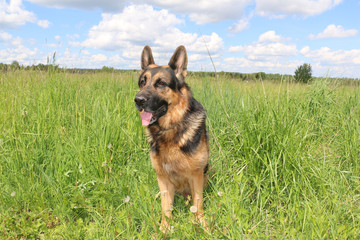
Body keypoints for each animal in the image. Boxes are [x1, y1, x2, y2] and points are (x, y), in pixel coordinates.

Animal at [134, 46, 208, 232]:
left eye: (161, 83)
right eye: (142, 82)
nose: (138, 100)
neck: (170, 128)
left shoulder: (196, 175)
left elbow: (198, 204)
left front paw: (202, 224)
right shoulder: (162, 178)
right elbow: (165, 206)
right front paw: (164, 228)